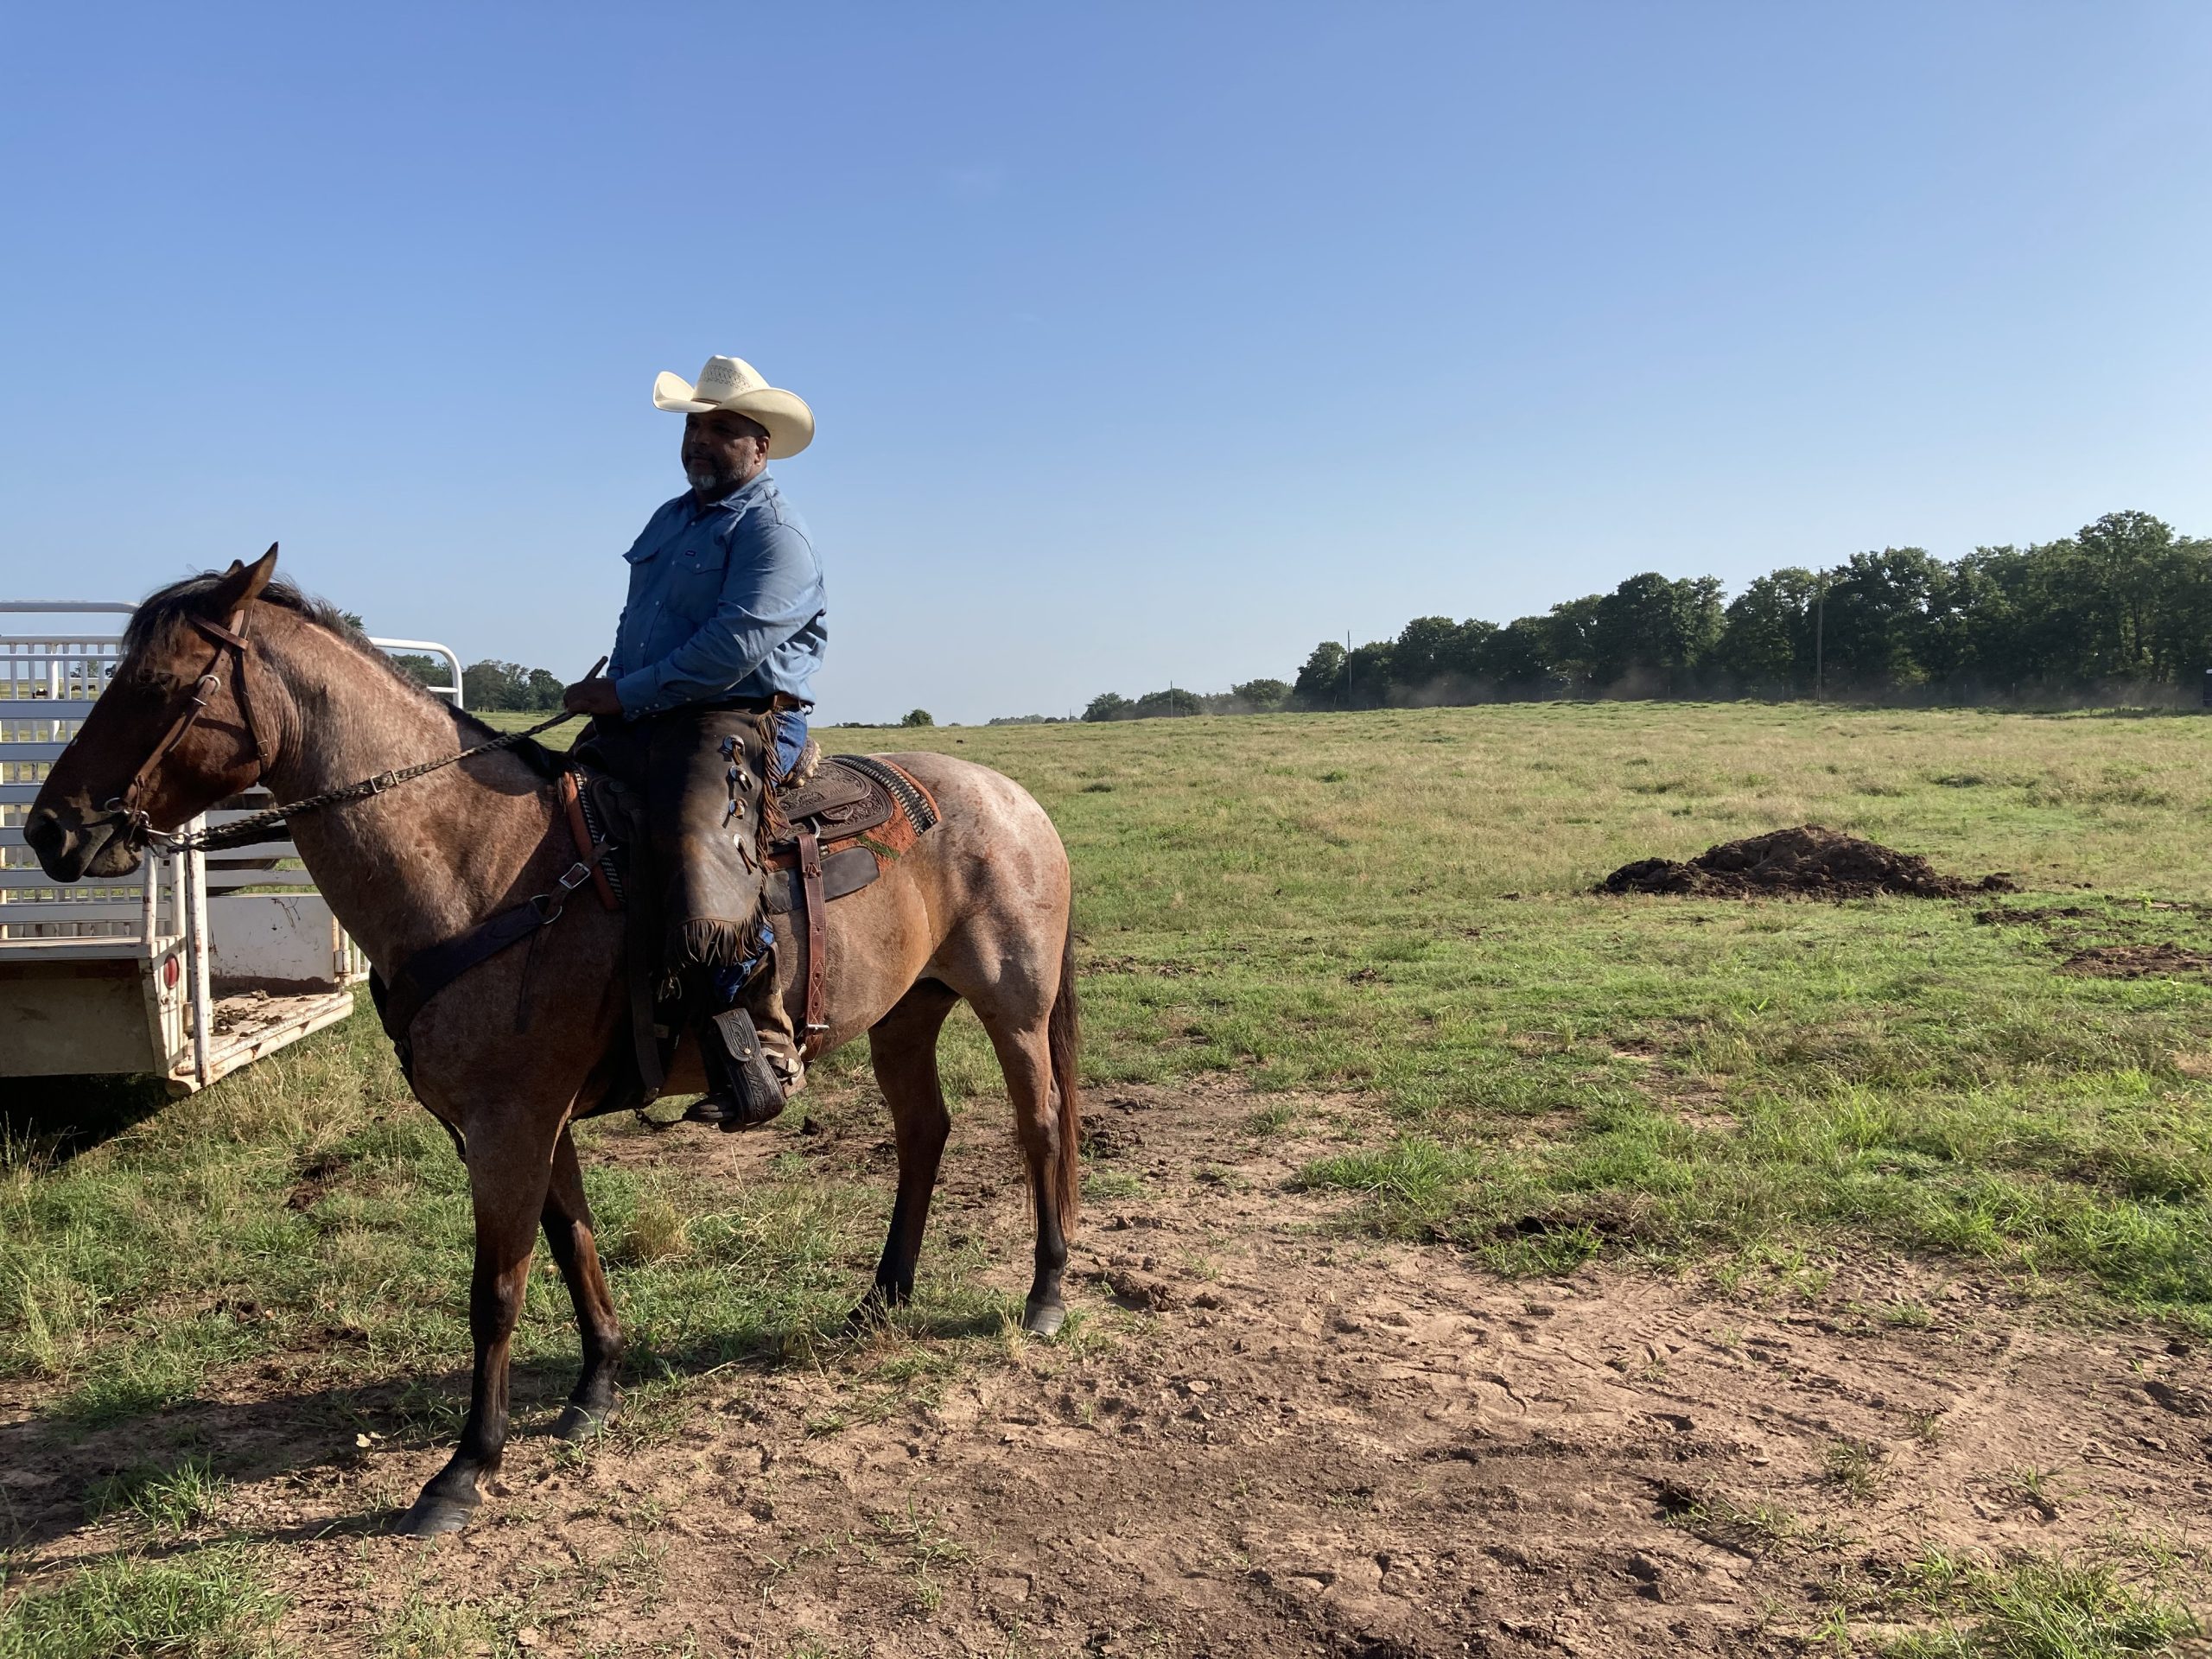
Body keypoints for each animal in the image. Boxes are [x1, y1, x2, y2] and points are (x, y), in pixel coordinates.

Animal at [23, 553, 1079, 1539]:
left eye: (158, 685)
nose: (50, 833)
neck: (480, 864)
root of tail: (1013, 799)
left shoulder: (509, 1125)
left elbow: (496, 1288)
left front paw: (463, 1469)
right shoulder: (527, 1121)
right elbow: (571, 1243)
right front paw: (594, 1390)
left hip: (1013, 1007)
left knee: (1040, 1127)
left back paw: (1045, 1294)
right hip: (908, 1013)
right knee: (924, 1135)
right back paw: (881, 1300)